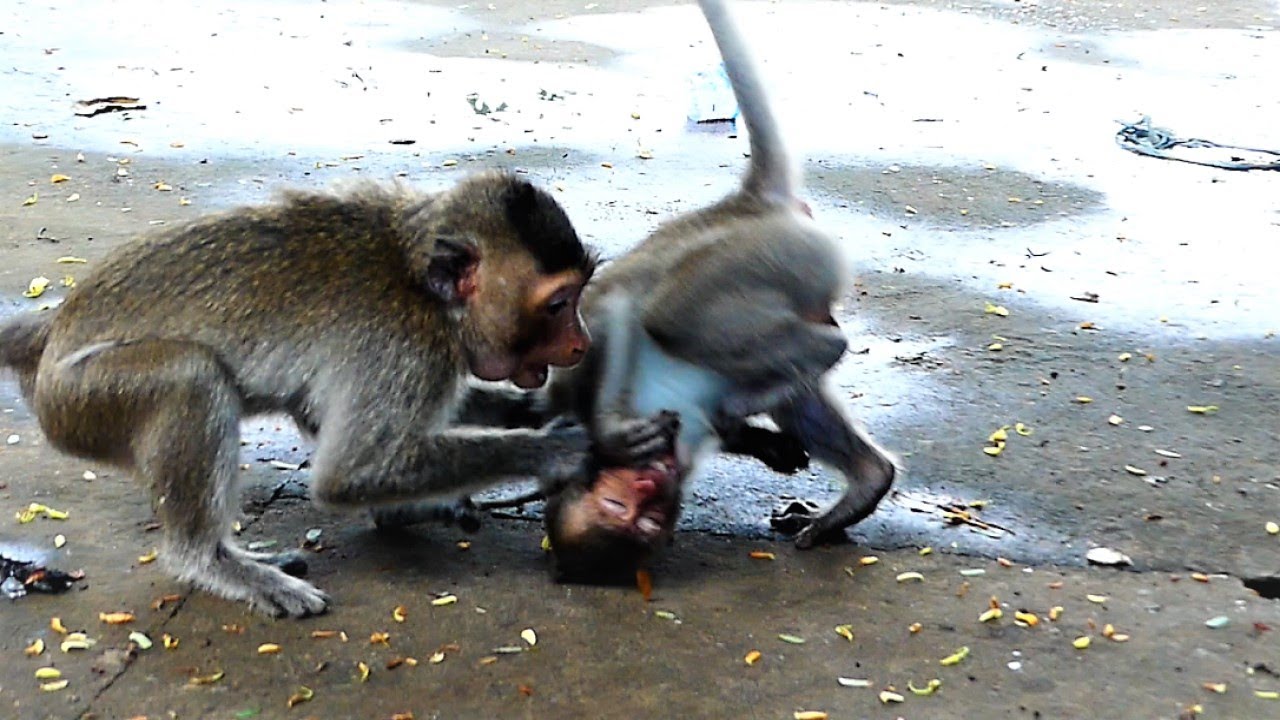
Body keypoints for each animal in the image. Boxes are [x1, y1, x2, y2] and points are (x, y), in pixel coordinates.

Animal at [0, 171, 674, 616]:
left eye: (576, 299)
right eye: (559, 305)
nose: (582, 344)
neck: (424, 289)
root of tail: (51, 335)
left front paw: (564, 419)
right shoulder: (406, 346)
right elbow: (350, 471)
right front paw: (561, 450)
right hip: (83, 399)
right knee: (191, 375)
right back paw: (213, 561)